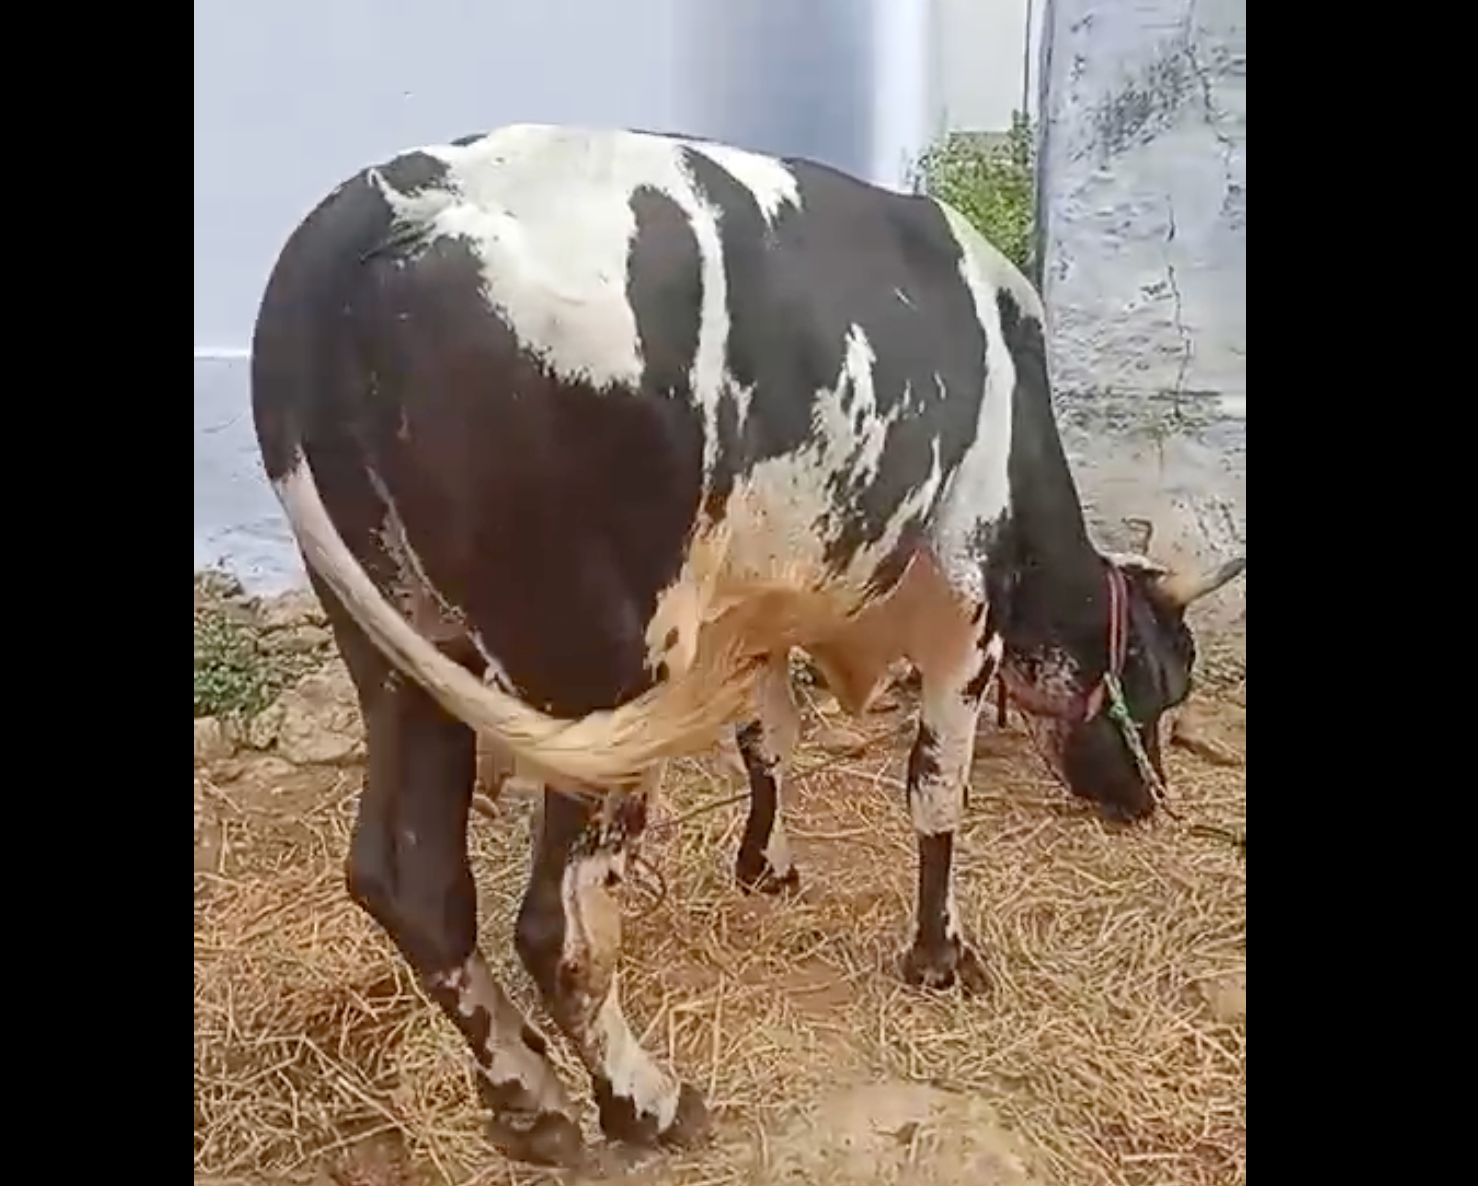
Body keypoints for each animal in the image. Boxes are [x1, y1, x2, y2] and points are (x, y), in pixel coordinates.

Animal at [250, 123, 1245, 1168]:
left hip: (402, 650)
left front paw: (767, 865)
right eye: (1163, 682)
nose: (1150, 802)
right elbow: (936, 793)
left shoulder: (756, 610)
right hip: (593, 671)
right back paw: (645, 1102)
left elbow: (770, 742)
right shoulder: (961, 613)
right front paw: (940, 955)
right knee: (556, 925)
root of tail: (364, 219)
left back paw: (529, 1100)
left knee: (412, 882)